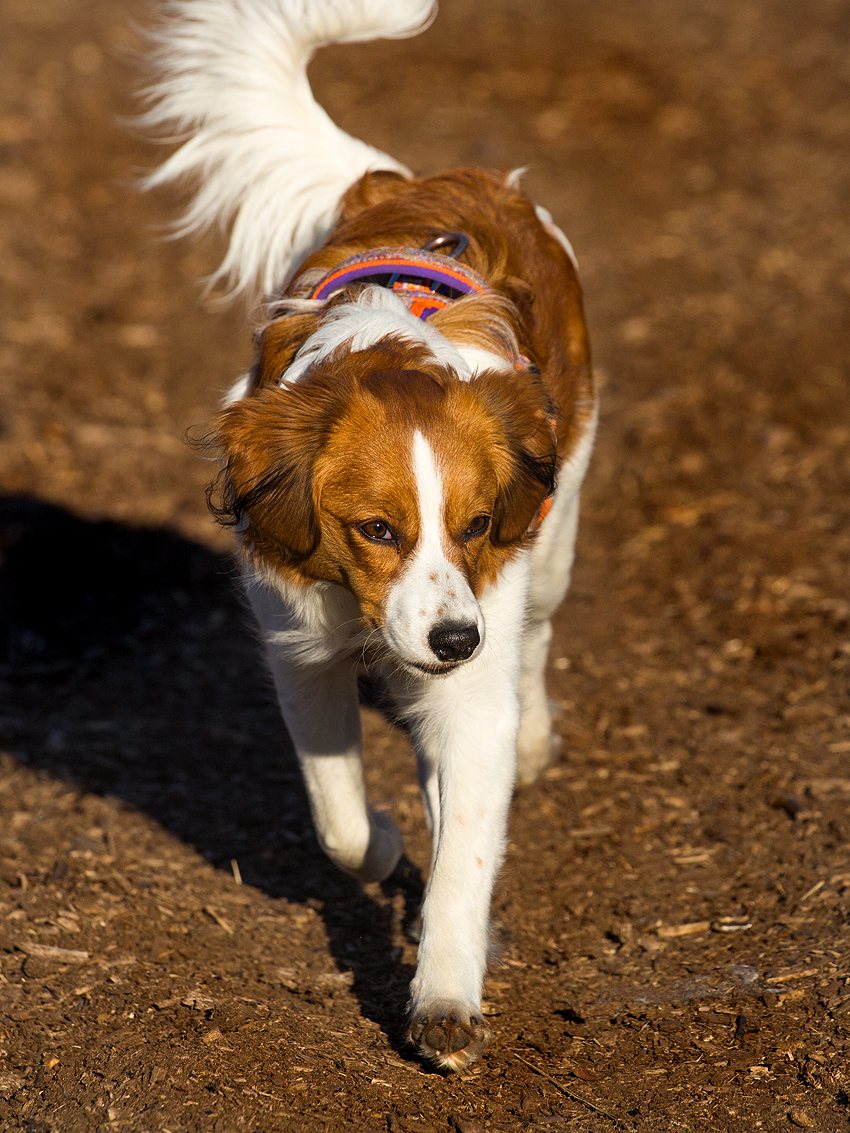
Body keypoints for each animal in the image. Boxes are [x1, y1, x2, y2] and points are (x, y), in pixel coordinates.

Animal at [143, 0, 593, 1069]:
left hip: (556, 538)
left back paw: (534, 732)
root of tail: (420, 181)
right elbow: (339, 821)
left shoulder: (477, 647)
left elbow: (466, 842)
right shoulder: (295, 640)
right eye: (377, 528)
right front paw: (387, 847)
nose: (456, 640)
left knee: (540, 635)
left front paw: (445, 992)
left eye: (476, 524)